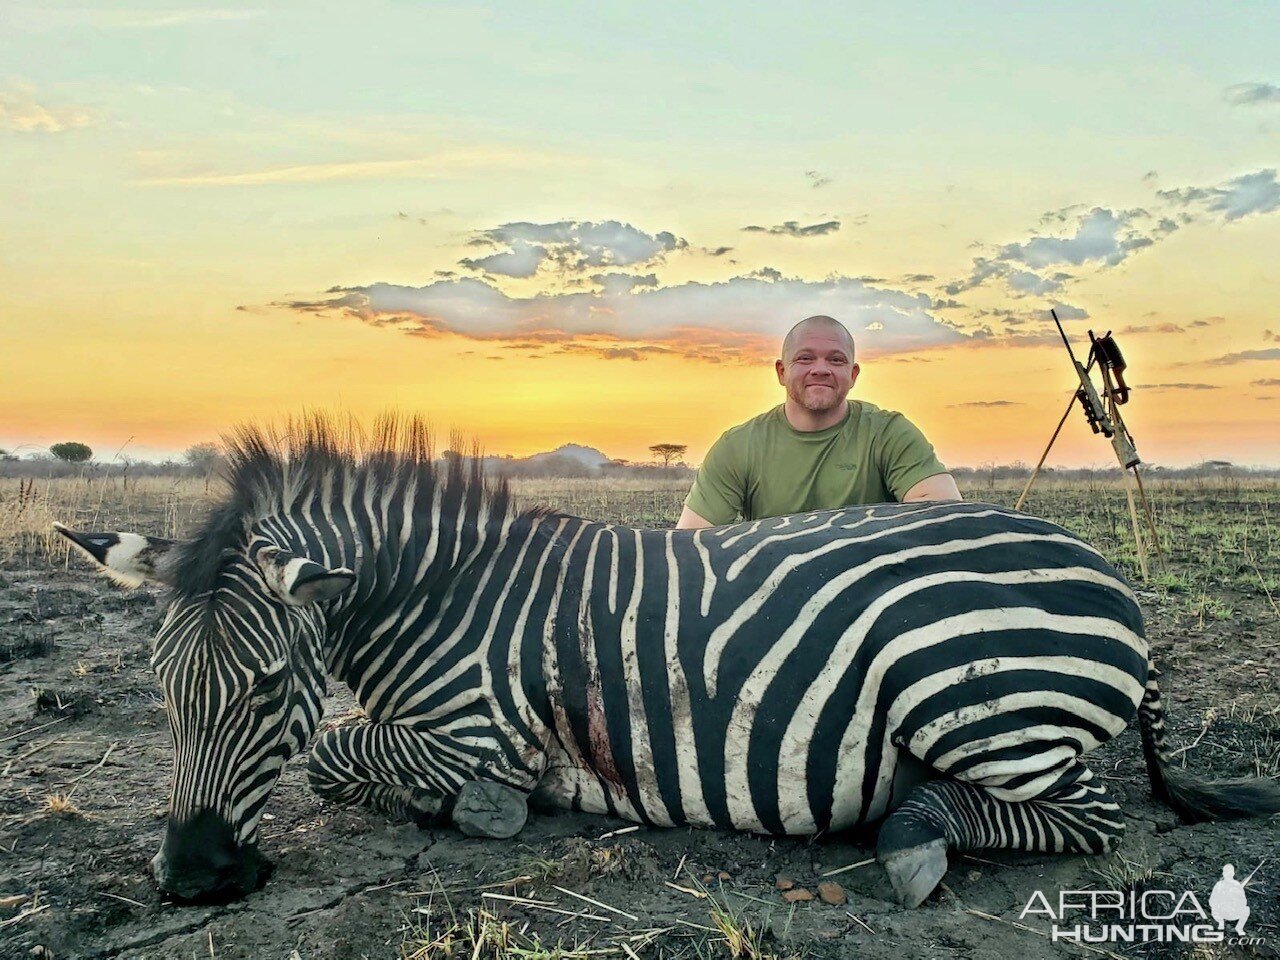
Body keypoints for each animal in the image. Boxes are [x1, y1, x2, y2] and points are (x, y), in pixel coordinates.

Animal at [55, 417, 1280, 906]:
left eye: (268, 689)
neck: (444, 596)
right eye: (161, 693)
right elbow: (343, 754)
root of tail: (1097, 559)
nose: (191, 881)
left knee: (1087, 818)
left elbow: (340, 755)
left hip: (974, 701)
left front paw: (484, 811)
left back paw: (915, 831)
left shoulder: (481, 728)